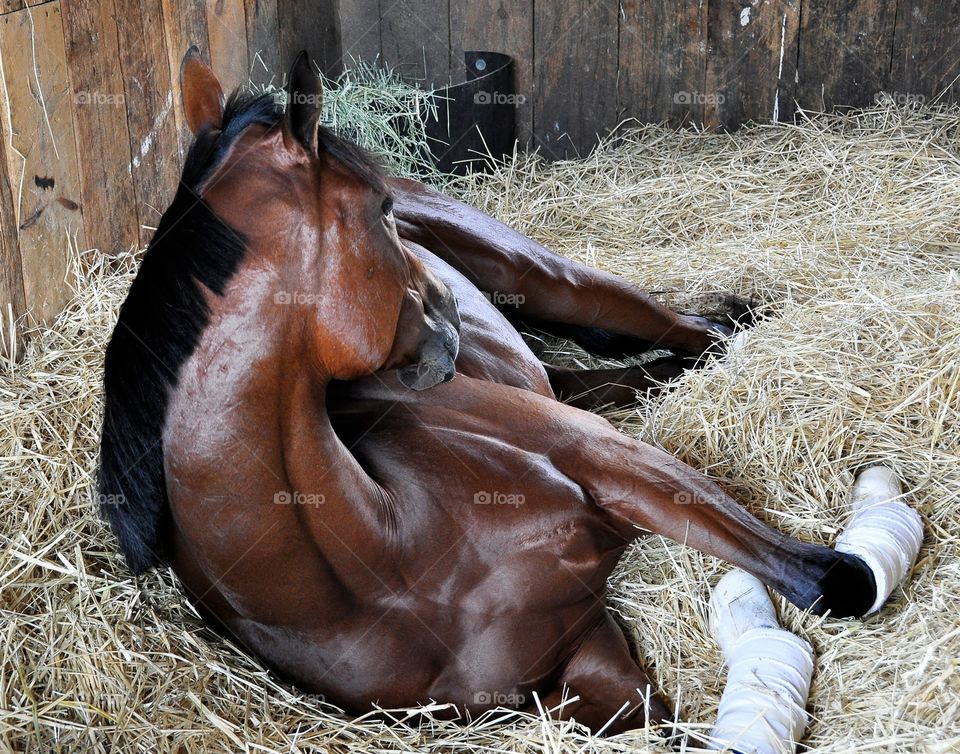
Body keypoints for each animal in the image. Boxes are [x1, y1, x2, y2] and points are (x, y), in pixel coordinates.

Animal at [97, 49, 877, 736]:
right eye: (377, 210)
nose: (444, 301)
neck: (385, 570)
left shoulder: (608, 462)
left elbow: (813, 575)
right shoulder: (583, 662)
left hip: (543, 277)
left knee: (690, 331)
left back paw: (740, 322)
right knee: (619, 374)